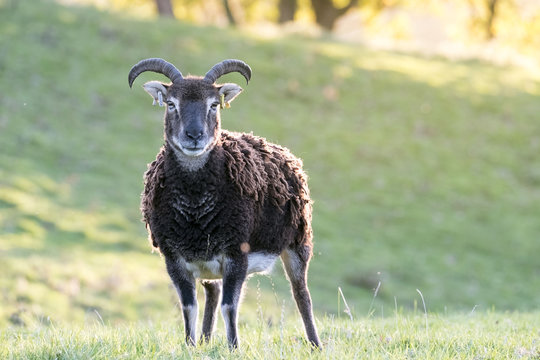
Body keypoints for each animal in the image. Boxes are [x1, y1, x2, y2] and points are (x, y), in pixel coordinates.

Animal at [127, 58, 320, 348]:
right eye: (171, 103)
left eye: (214, 104)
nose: (194, 135)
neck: (195, 206)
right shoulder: (174, 259)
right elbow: (189, 306)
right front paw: (190, 345)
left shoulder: (236, 255)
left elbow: (230, 306)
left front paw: (233, 347)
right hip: (208, 263)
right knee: (213, 293)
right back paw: (205, 340)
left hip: (298, 242)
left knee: (302, 295)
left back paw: (315, 344)